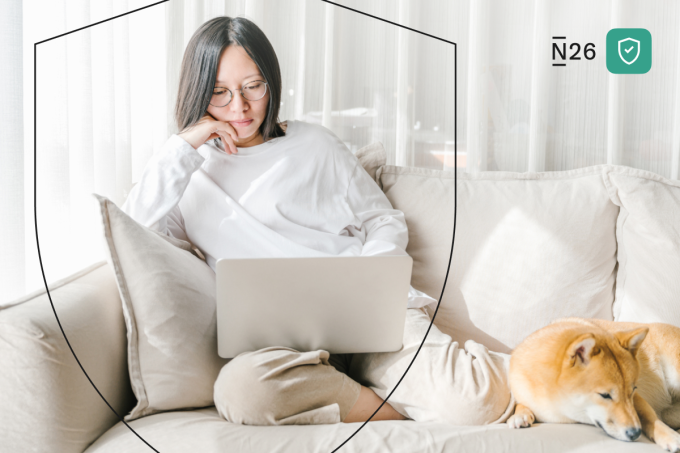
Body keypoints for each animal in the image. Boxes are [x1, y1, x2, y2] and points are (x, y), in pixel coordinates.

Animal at [508, 316, 680, 450]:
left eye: (632, 391)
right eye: (605, 395)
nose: (636, 433)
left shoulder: (637, 400)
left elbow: (650, 417)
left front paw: (670, 436)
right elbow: (520, 403)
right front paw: (520, 415)